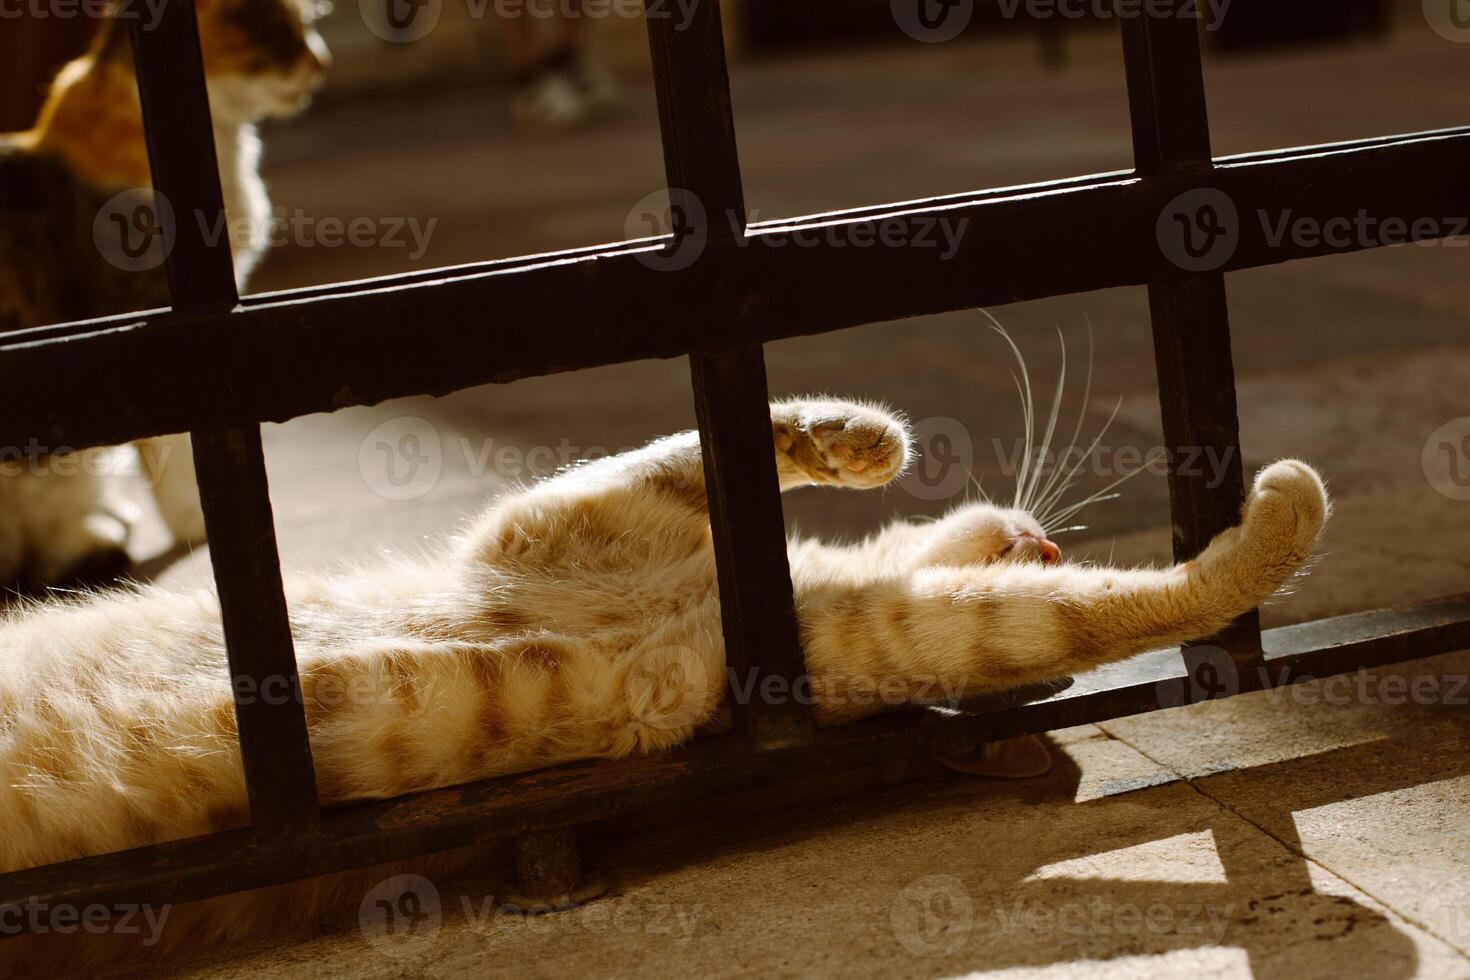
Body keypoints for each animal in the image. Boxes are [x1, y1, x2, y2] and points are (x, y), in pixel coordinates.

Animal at [0, 0, 327, 587]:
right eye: (276, 29)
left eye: (306, 24)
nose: (321, 63)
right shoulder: (149, 334)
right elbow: (174, 447)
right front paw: (203, 523)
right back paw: (89, 539)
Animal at [0, 399, 1334, 975]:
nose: (1048, 538)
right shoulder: (590, 526)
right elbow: (713, 445)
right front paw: (855, 440)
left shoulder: (558, 534)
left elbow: (1123, 610)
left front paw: (1280, 513)